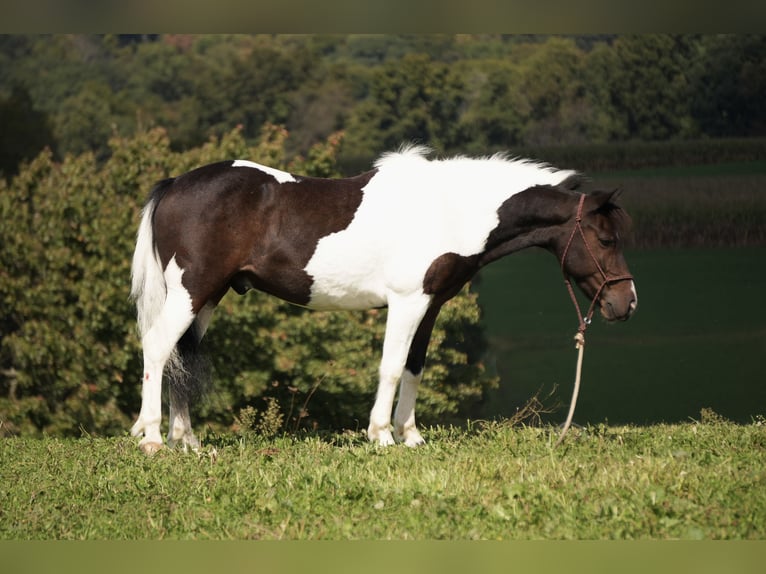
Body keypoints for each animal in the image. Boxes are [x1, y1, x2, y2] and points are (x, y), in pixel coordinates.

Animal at [129, 145, 637, 454]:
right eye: (605, 239)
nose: (626, 303)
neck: (449, 210)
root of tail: (175, 184)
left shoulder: (430, 307)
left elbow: (414, 368)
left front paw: (411, 436)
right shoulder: (406, 302)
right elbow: (391, 367)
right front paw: (381, 435)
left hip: (207, 298)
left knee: (179, 357)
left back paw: (187, 441)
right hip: (192, 292)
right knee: (157, 348)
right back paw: (152, 440)